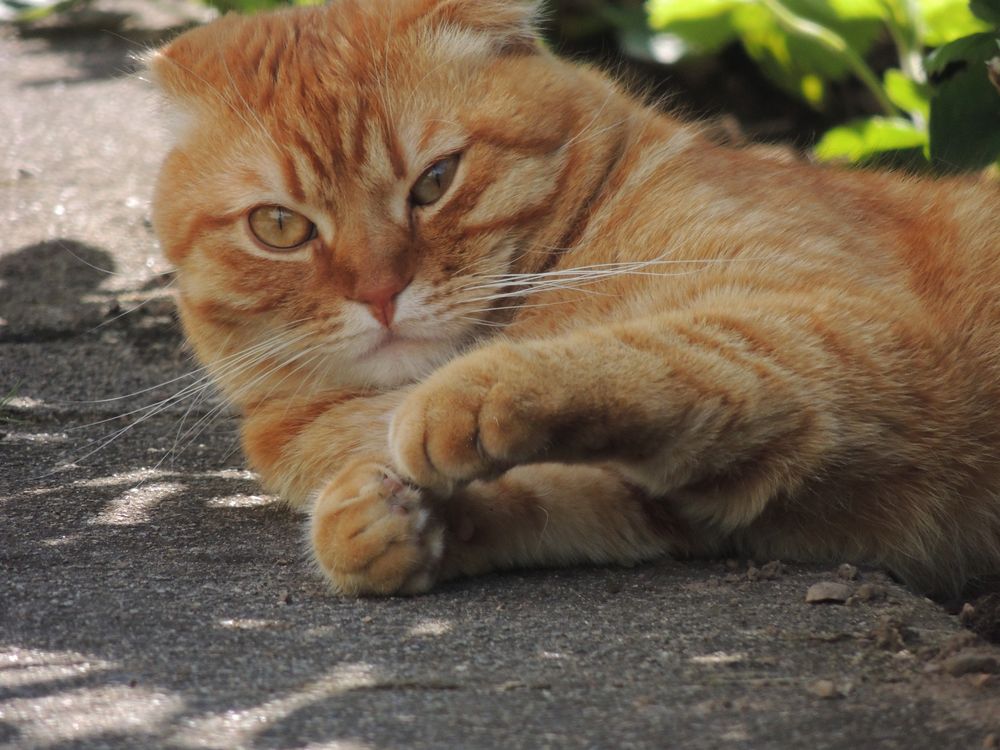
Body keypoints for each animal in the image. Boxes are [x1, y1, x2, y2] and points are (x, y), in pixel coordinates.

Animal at [150, 0, 1000, 600]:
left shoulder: (844, 332)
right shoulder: (682, 502)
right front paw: (379, 521)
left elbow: (654, 352)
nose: (381, 293)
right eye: (280, 227)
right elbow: (546, 494)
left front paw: (460, 396)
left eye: (435, 181)